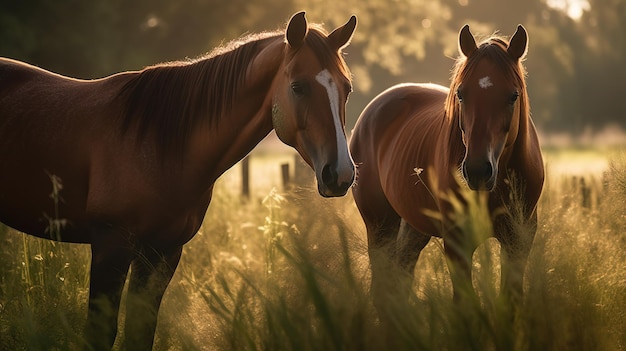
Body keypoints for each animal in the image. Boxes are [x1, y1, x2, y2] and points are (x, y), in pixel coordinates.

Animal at [0, 11, 356, 351]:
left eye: (347, 88)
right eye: (298, 86)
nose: (340, 174)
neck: (159, 144)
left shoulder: (162, 252)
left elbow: (140, 333)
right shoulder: (110, 245)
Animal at [352, 24, 540, 316]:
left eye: (513, 96)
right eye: (461, 93)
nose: (477, 170)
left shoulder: (519, 242)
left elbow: (510, 301)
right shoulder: (457, 243)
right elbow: (464, 305)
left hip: (413, 229)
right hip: (380, 225)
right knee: (383, 291)